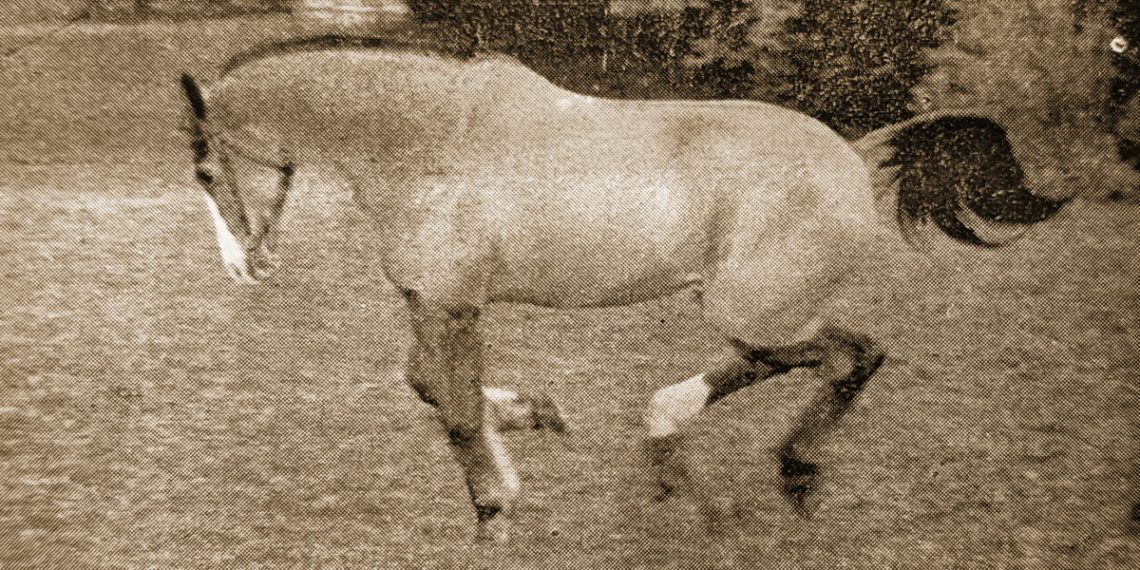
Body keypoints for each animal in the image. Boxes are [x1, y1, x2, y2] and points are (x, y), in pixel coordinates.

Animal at [176, 35, 1067, 541]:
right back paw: (685, 456)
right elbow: (429, 386)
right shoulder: (437, 304)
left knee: (850, 353)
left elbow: (453, 411)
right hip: (746, 310)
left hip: (749, 308)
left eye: (206, 170)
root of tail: (854, 152)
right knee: (817, 359)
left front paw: (493, 507)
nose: (242, 268)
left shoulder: (450, 303)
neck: (427, 142)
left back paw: (778, 471)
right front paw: (535, 414)